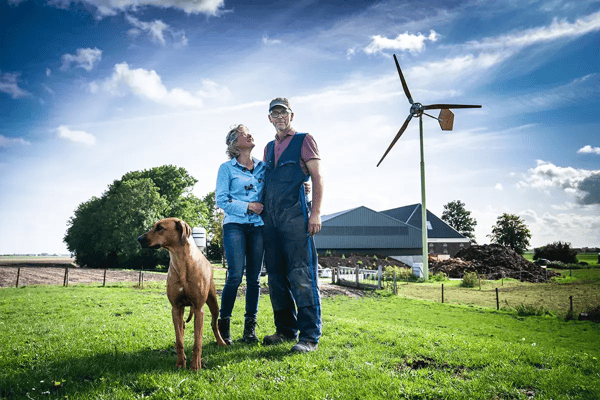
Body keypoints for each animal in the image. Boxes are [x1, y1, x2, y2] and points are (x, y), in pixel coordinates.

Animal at [138, 217, 227, 370]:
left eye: (160, 228)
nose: (139, 239)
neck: (181, 261)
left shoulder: (198, 309)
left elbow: (198, 341)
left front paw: (195, 365)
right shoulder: (175, 307)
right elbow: (179, 339)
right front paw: (180, 362)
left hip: (213, 303)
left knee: (214, 324)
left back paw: (221, 342)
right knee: (182, 328)